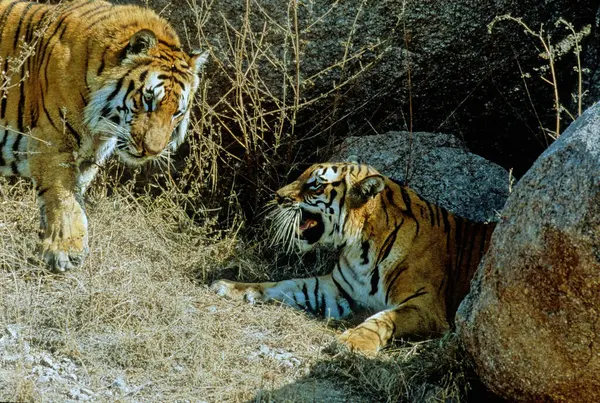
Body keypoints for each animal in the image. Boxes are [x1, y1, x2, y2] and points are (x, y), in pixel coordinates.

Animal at [0, 0, 209, 272]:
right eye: (149, 99)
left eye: (177, 112)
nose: (151, 150)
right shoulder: (52, 140)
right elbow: (63, 197)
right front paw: (65, 251)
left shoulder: (88, 157)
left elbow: (74, 198)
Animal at [211, 163, 496, 356]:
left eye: (315, 185)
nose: (277, 196)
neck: (361, 248)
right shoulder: (337, 289)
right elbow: (285, 284)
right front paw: (230, 286)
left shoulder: (425, 305)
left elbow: (384, 320)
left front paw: (352, 343)